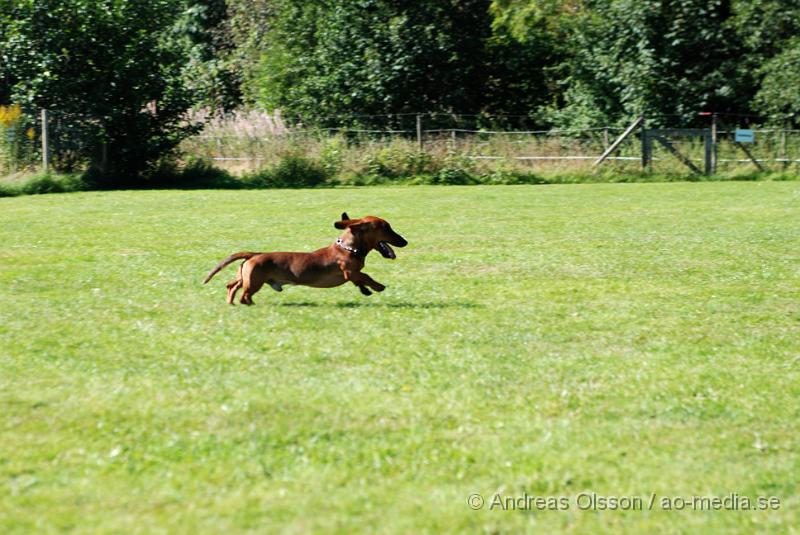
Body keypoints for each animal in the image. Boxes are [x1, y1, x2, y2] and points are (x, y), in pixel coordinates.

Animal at [203, 214, 410, 306]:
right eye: (386, 227)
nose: (405, 241)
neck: (347, 248)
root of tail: (254, 254)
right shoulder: (350, 271)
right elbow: (365, 276)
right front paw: (377, 286)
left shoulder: (352, 275)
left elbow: (360, 280)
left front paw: (366, 290)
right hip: (254, 282)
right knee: (244, 295)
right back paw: (248, 304)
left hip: (246, 276)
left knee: (232, 285)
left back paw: (230, 302)